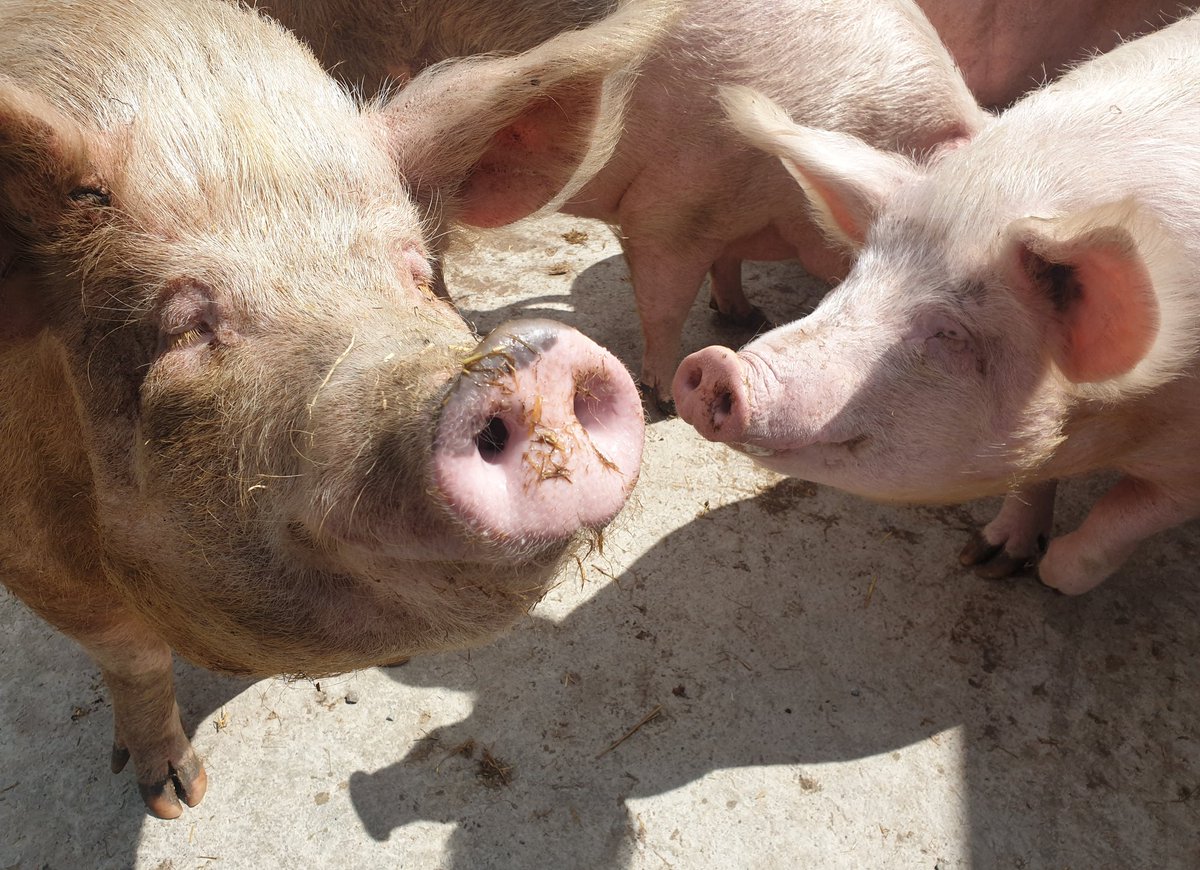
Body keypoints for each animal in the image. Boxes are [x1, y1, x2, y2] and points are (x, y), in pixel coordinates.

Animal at [0, 0, 669, 818]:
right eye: (185, 325)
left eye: (417, 272)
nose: (524, 358)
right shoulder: (30, 557)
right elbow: (132, 655)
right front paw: (175, 799)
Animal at [674, 14, 1200, 595]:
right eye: (855, 276)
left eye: (950, 332)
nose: (715, 364)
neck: (1111, 423)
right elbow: (1034, 479)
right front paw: (986, 559)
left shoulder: (1187, 469)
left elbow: (1114, 525)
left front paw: (1046, 573)